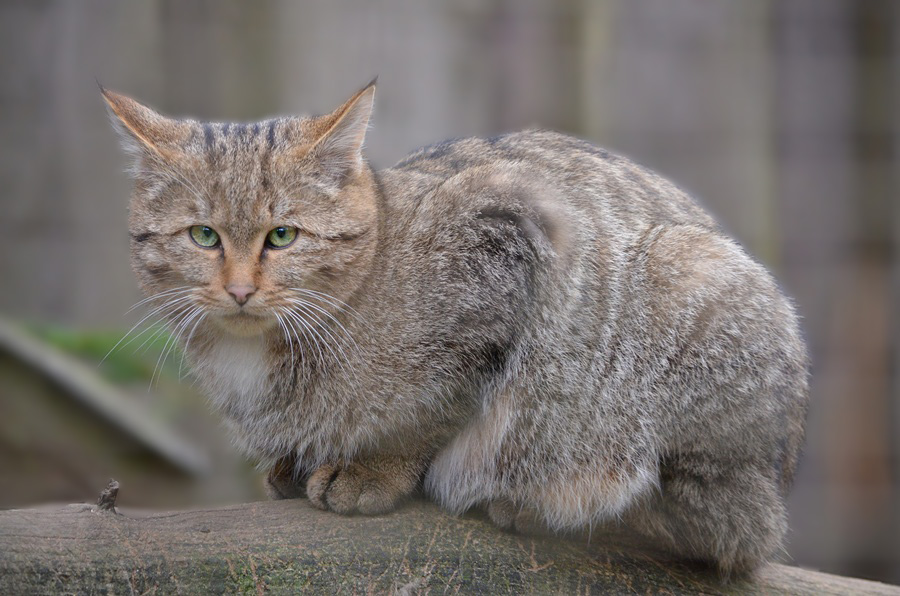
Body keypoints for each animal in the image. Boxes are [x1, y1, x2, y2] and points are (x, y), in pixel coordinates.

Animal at [103, 81, 808, 576]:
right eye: (203, 236)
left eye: (282, 236)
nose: (241, 289)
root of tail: (777, 485)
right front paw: (297, 460)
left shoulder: (510, 236)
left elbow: (434, 405)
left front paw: (373, 469)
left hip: (685, 283)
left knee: (702, 519)